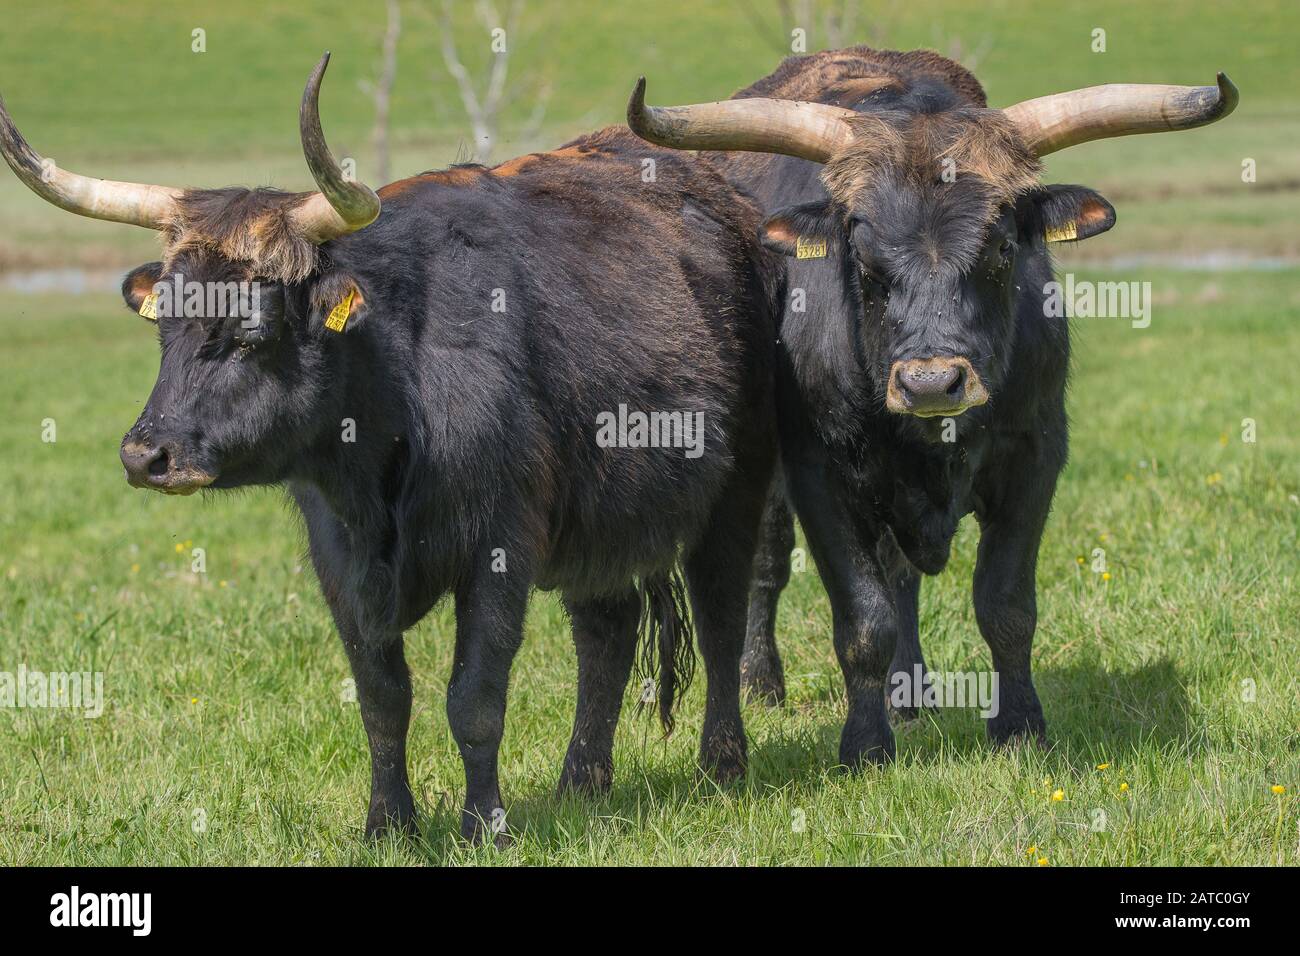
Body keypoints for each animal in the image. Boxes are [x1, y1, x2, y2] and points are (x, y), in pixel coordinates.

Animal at [0, 57, 769, 842]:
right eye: (167, 326)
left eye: (252, 329)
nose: (145, 456)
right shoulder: (340, 561)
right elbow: (382, 699)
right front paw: (388, 823)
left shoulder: (499, 549)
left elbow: (474, 698)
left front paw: (483, 824)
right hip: (601, 521)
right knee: (606, 637)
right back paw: (581, 783)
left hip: (738, 493)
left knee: (720, 617)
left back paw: (722, 763)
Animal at [634, 50, 1242, 770]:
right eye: (862, 257)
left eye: (1003, 248)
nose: (931, 383)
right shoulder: (820, 473)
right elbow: (862, 617)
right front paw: (865, 744)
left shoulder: (1035, 456)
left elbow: (1005, 604)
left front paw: (1019, 725)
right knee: (770, 563)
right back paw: (763, 681)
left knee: (901, 574)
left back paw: (911, 692)